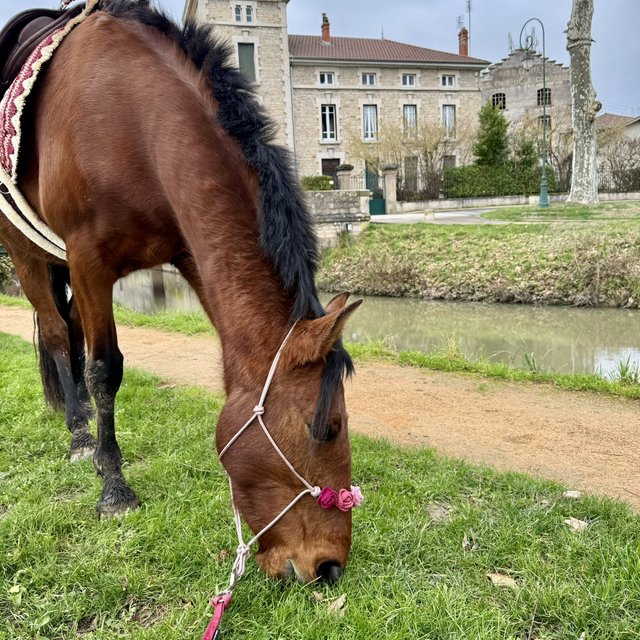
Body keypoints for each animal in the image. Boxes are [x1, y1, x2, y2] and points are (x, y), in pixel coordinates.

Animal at [0, 0, 361, 584]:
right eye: (326, 429)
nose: (330, 567)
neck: (131, 118)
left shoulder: (188, 252)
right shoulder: (88, 260)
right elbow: (105, 369)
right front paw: (114, 487)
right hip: (28, 253)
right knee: (56, 335)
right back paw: (80, 434)